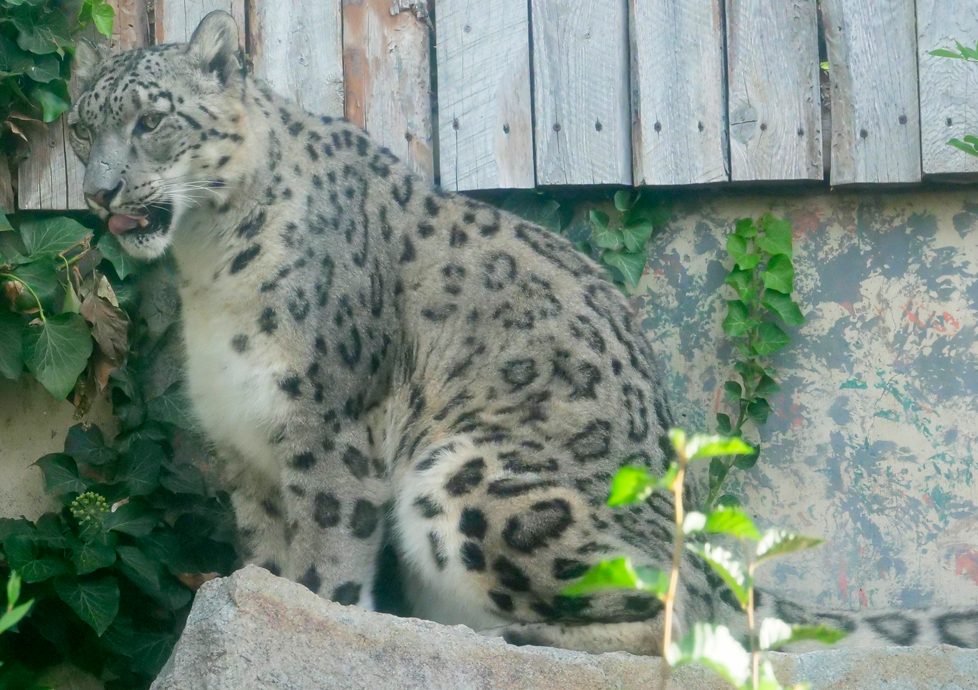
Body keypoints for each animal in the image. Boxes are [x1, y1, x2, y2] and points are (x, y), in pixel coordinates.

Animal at [67, 10, 978, 655]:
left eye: (151, 121)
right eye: (83, 127)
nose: (101, 191)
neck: (206, 263)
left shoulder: (328, 429)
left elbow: (325, 571)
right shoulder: (246, 448)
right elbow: (265, 567)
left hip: (471, 475)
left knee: (685, 620)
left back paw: (509, 634)